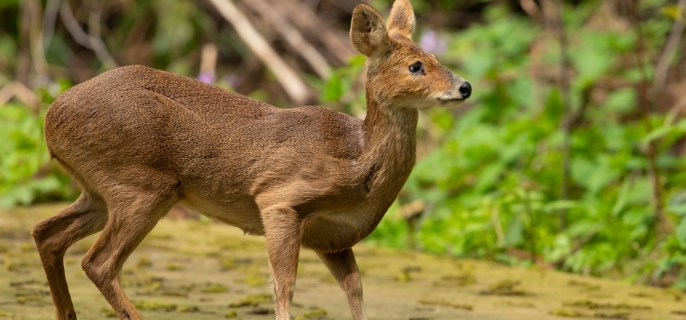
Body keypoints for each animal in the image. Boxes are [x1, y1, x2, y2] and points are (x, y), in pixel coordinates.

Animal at [32, 0, 472, 320]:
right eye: (416, 66)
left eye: (435, 57)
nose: (465, 87)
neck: (356, 158)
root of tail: (51, 118)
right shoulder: (279, 198)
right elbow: (283, 285)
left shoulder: (333, 237)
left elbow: (355, 289)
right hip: (143, 184)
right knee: (98, 262)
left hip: (101, 190)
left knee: (46, 233)